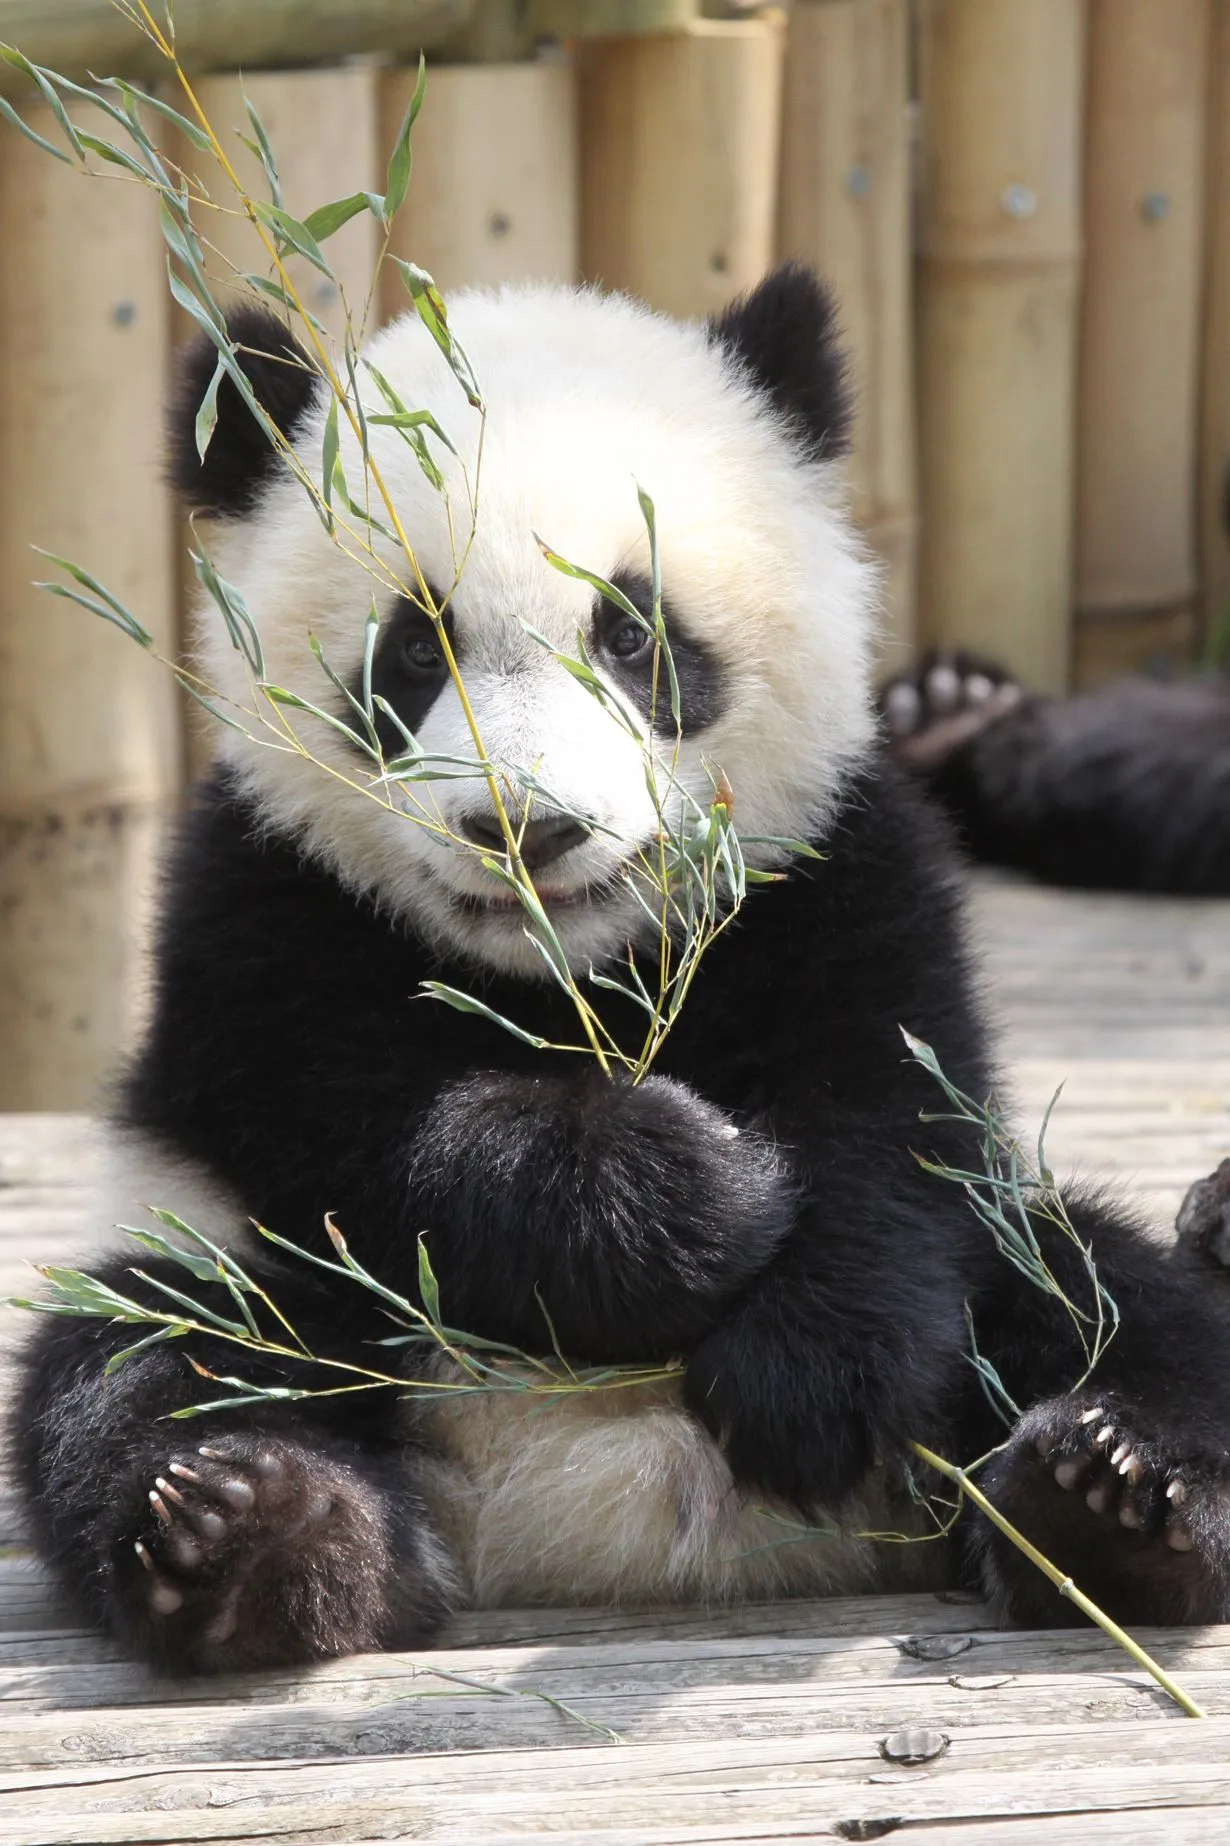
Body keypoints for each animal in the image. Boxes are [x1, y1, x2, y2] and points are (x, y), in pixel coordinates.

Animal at [14, 269, 1226, 1676]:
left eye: (635, 631)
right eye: (414, 650)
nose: (527, 827)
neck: (575, 970)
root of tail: (595, 1530)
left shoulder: (837, 860)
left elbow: (895, 1107)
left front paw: (811, 1375)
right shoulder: (258, 895)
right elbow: (348, 1114)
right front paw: (693, 1188)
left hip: (1011, 1280)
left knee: (1105, 1295)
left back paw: (1114, 1494)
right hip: (252, 1277)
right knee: (148, 1358)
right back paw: (261, 1534)